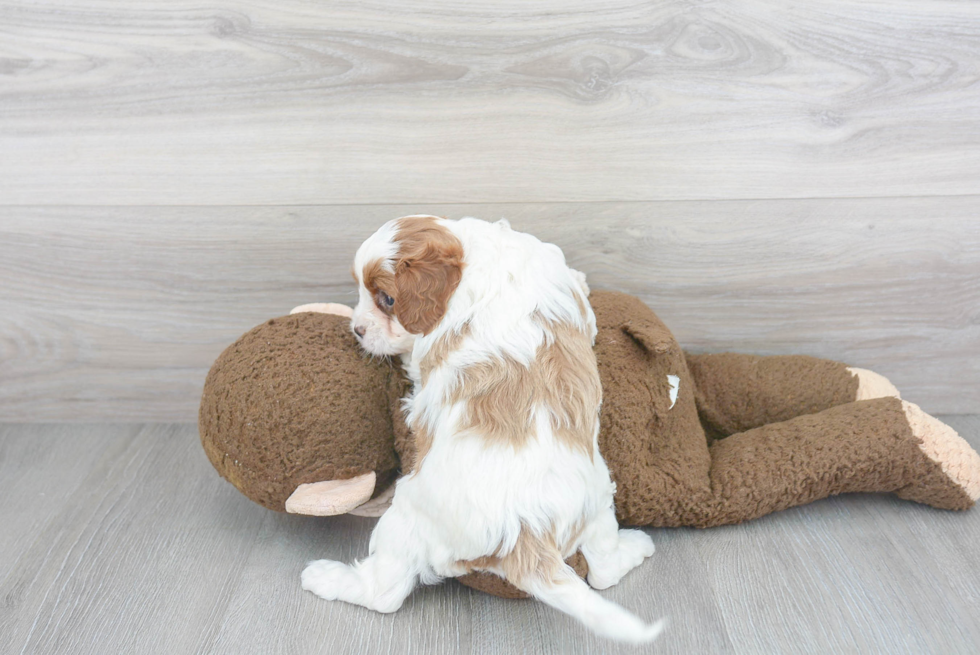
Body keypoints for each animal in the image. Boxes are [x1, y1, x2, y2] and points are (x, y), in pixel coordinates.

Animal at [300, 217, 668, 644]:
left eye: (387, 300)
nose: (357, 330)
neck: (476, 258)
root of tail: (525, 533)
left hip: (405, 519)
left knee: (384, 594)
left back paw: (326, 577)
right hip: (597, 501)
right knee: (604, 569)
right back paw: (638, 546)